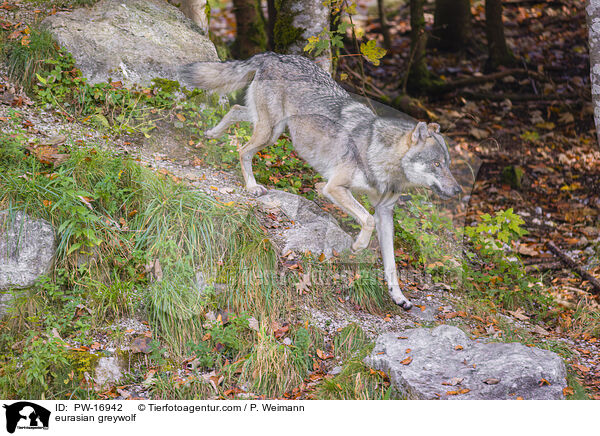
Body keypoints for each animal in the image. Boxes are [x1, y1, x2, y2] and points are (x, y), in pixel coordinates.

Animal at [180, 52, 462, 310]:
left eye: (448, 164)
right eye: (436, 164)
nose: (458, 190)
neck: (381, 157)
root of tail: (274, 55)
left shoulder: (385, 211)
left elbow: (391, 262)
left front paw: (399, 296)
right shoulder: (333, 187)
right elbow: (366, 220)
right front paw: (358, 245)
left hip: (269, 128)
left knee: (235, 110)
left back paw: (211, 134)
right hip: (270, 132)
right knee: (242, 150)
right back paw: (251, 185)